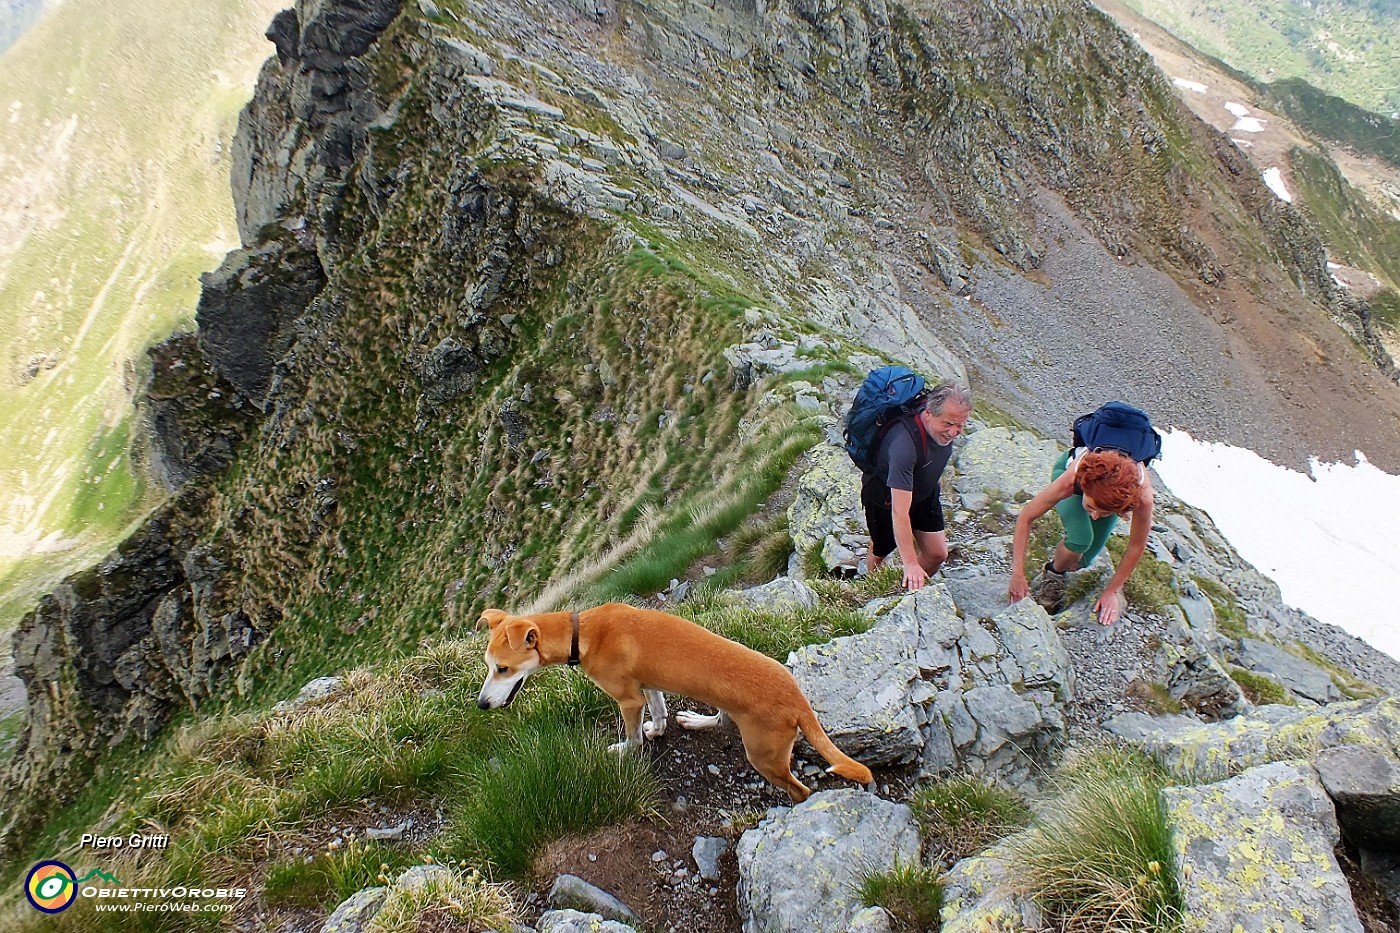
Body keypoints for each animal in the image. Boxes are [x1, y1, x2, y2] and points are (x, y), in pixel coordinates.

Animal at [481, 602, 873, 801]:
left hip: (765, 756)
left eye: (503, 669)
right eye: (488, 665)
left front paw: (625, 750)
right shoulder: (647, 685)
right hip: (733, 710)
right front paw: (658, 730)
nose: (482, 705)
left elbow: (633, 737)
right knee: (720, 718)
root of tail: (797, 698)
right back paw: (696, 720)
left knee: (800, 790)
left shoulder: (628, 699)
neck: (583, 631)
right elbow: (658, 713)